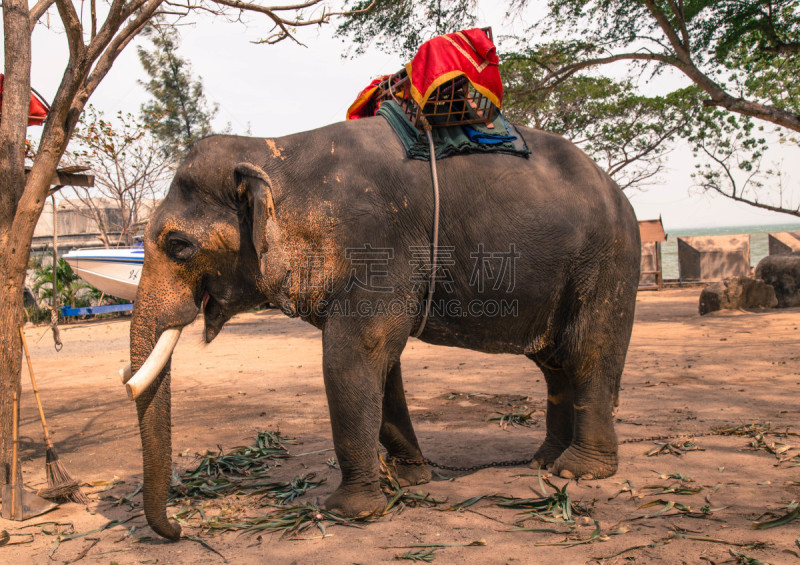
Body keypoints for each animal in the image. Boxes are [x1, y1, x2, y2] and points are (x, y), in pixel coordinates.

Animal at [125, 117, 640, 540]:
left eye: (178, 245)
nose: (179, 530)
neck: (278, 152)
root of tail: (617, 190)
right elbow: (383, 363)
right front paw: (410, 479)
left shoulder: (377, 246)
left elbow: (351, 357)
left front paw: (349, 512)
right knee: (554, 364)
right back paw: (544, 461)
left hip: (607, 261)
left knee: (588, 354)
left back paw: (578, 473)